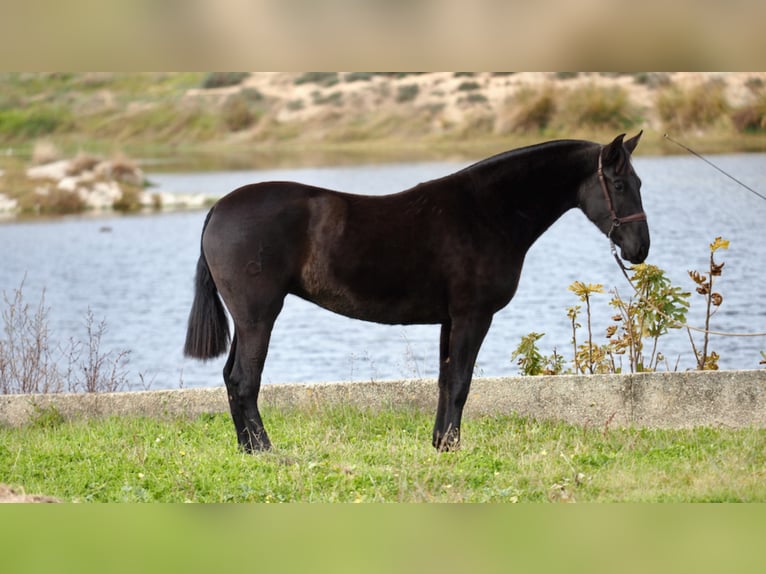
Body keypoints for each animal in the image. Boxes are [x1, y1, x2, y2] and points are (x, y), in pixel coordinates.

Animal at [184, 133, 648, 452]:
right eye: (620, 184)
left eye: (638, 182)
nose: (639, 249)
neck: (487, 213)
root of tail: (219, 207)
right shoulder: (473, 315)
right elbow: (460, 382)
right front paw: (452, 448)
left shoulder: (449, 319)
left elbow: (445, 380)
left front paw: (440, 443)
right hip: (258, 316)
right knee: (244, 380)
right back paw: (265, 449)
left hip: (247, 320)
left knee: (230, 379)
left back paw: (248, 449)